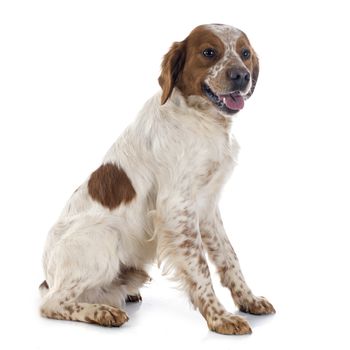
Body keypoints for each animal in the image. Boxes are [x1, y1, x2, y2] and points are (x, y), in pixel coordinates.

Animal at [40, 23, 276, 334]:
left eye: (245, 53)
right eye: (209, 52)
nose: (241, 76)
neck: (202, 119)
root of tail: (47, 274)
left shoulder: (207, 206)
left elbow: (229, 257)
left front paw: (249, 300)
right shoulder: (176, 208)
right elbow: (200, 267)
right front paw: (219, 317)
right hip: (103, 238)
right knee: (52, 303)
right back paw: (102, 312)